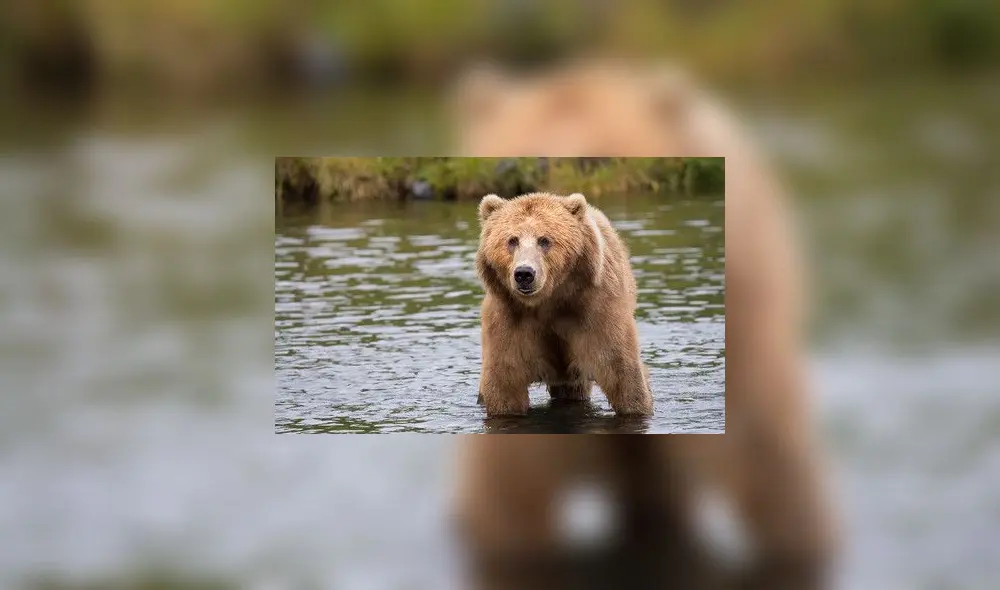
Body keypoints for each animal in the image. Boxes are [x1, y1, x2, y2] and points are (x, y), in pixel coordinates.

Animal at [476, 191, 653, 417]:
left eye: (544, 240)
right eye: (512, 240)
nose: (524, 273)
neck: (550, 301)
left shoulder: (596, 312)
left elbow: (622, 374)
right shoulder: (510, 319)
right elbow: (505, 383)